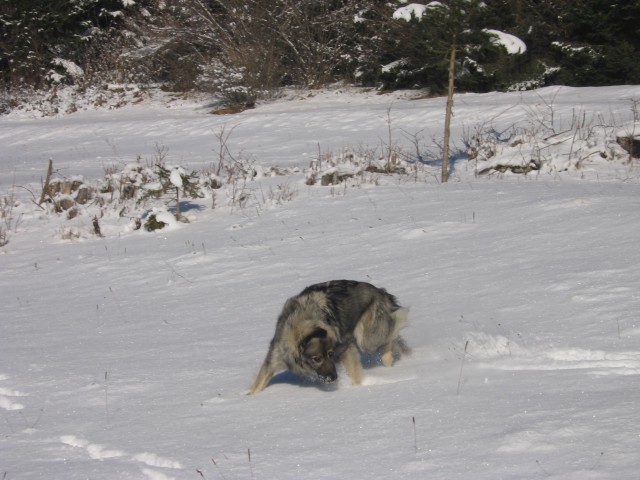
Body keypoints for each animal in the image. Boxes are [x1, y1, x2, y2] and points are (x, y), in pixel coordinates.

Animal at [246, 282, 410, 394]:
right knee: (396, 338)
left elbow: (355, 373)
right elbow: (258, 384)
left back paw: (389, 360)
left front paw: (359, 387)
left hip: (366, 339)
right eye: (316, 358)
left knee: (390, 336)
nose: (334, 378)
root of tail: (381, 292)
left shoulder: (345, 348)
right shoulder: (275, 358)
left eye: (331, 354)